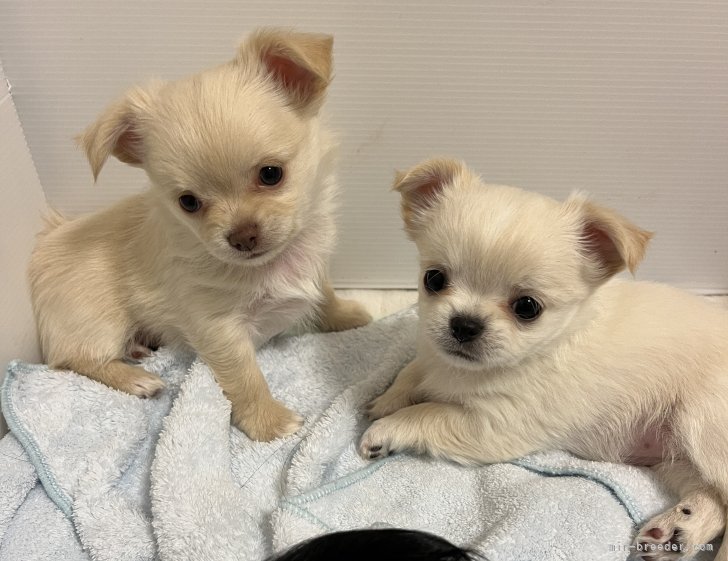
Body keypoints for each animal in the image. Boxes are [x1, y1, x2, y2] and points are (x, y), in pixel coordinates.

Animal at [27, 28, 370, 442]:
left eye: (271, 174)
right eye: (188, 202)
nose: (243, 236)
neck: (277, 264)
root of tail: (49, 238)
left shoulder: (315, 269)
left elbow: (325, 296)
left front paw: (347, 316)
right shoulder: (219, 328)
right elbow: (246, 378)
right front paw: (268, 423)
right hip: (97, 322)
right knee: (70, 360)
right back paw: (136, 378)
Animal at [358, 158, 728, 560]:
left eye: (527, 307)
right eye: (434, 279)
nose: (464, 324)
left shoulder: (493, 425)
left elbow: (428, 413)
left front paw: (385, 429)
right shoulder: (432, 356)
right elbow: (412, 371)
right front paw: (387, 400)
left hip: (701, 425)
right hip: (675, 456)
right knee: (714, 500)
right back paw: (677, 530)